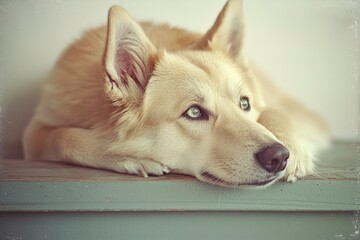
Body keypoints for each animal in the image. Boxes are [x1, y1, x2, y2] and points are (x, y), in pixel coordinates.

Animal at [22, 0, 330, 188]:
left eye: (244, 104)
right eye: (194, 112)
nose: (279, 156)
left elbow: (273, 112)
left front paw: (295, 148)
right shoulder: (33, 134)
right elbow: (62, 137)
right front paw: (124, 155)